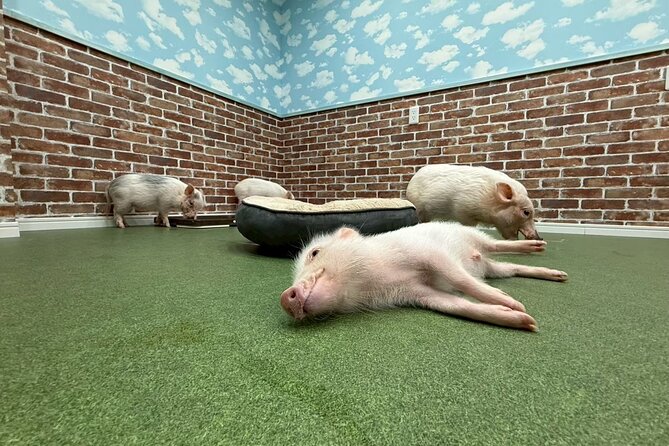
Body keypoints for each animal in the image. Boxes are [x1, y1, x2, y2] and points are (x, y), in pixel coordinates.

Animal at [280, 222, 568, 332]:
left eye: (315, 253)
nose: (285, 297)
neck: (378, 276)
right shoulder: (417, 293)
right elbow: (457, 305)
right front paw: (526, 321)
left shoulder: (428, 252)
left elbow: (459, 280)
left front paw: (513, 303)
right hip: (494, 269)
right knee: (510, 267)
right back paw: (560, 276)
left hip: (473, 236)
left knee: (497, 245)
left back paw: (539, 247)